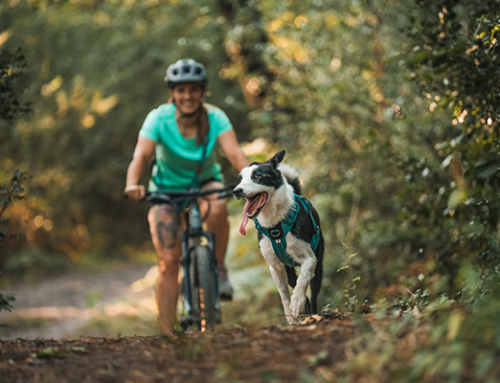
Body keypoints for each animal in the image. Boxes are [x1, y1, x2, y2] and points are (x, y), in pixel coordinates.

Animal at [234, 150, 324, 324]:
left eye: (257, 176)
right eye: (240, 179)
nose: (236, 191)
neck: (275, 225)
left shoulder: (309, 258)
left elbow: (302, 280)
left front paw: (297, 302)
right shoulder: (275, 267)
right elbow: (284, 296)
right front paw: (292, 319)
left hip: (319, 265)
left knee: (313, 292)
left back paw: (313, 315)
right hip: (289, 271)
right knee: (296, 285)